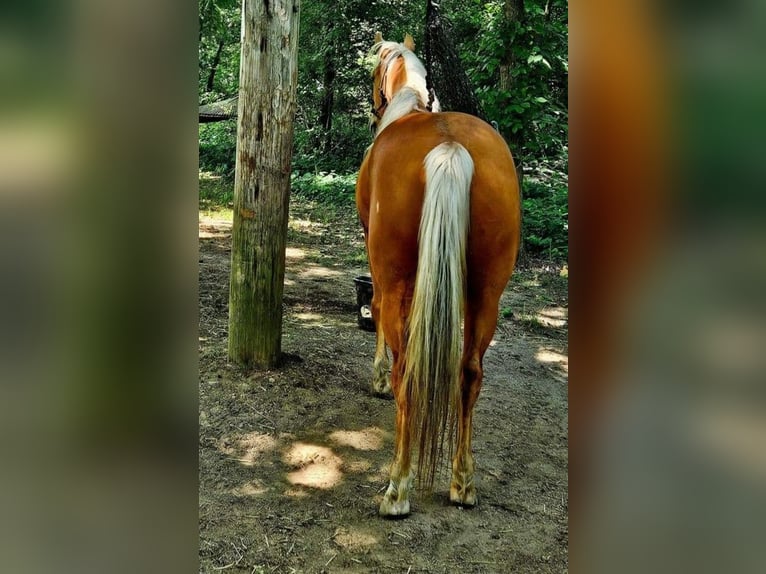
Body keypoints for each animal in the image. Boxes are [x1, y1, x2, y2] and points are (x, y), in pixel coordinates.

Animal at [356, 32, 521, 516]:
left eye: (374, 71)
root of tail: (450, 148)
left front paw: (376, 377)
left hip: (396, 280)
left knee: (407, 372)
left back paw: (397, 487)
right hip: (486, 294)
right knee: (469, 372)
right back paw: (462, 480)